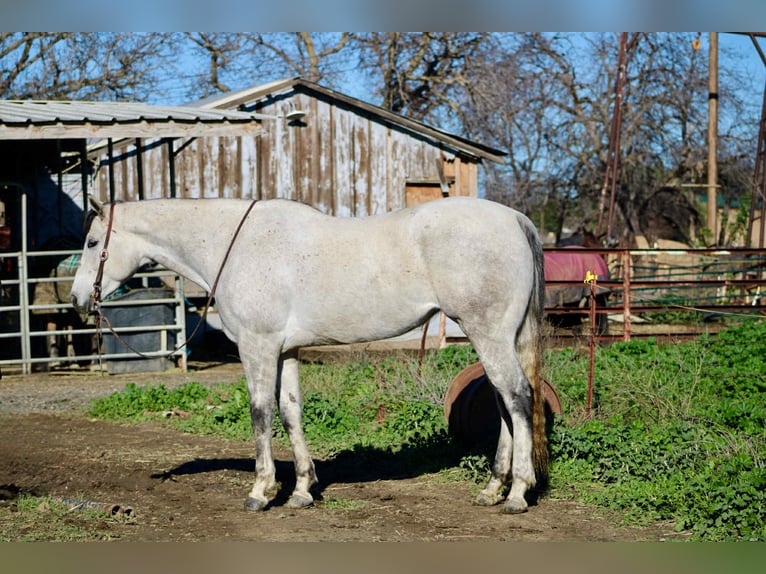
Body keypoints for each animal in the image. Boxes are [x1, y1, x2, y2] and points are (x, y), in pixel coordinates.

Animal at [70, 196, 549, 514]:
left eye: (92, 243)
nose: (76, 301)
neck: (235, 245)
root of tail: (515, 219)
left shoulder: (258, 346)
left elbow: (260, 412)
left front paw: (261, 491)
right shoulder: (287, 350)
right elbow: (291, 412)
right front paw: (301, 489)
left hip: (488, 334)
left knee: (518, 398)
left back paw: (517, 494)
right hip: (495, 338)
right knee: (505, 405)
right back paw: (492, 489)